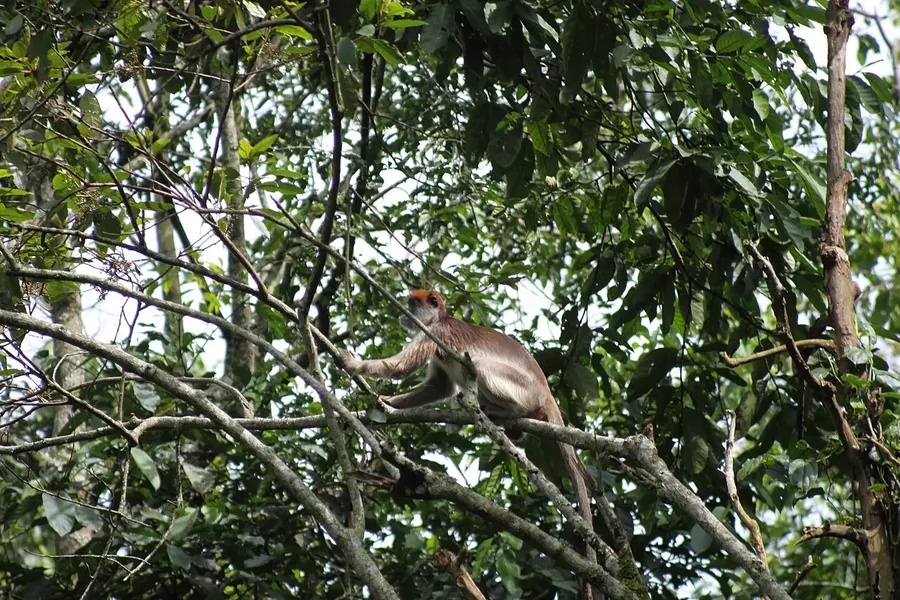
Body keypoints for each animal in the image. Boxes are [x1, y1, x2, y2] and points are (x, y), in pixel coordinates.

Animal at [338, 290, 597, 598]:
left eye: (413, 302)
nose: (403, 312)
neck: (441, 318)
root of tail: (545, 393)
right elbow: (438, 388)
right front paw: (383, 405)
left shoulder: (435, 333)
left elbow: (401, 367)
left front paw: (353, 364)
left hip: (522, 389)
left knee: (482, 366)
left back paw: (508, 413)